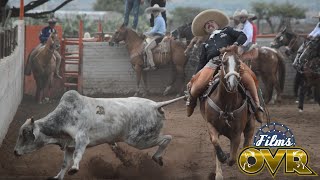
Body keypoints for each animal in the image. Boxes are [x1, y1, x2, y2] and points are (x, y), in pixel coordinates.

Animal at [200, 45, 255, 180]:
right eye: (224, 63)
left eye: (239, 63)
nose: (232, 83)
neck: (226, 105)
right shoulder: (211, 125)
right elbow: (215, 143)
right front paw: (221, 162)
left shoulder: (236, 133)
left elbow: (232, 158)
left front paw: (228, 157)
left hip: (250, 123)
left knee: (248, 138)